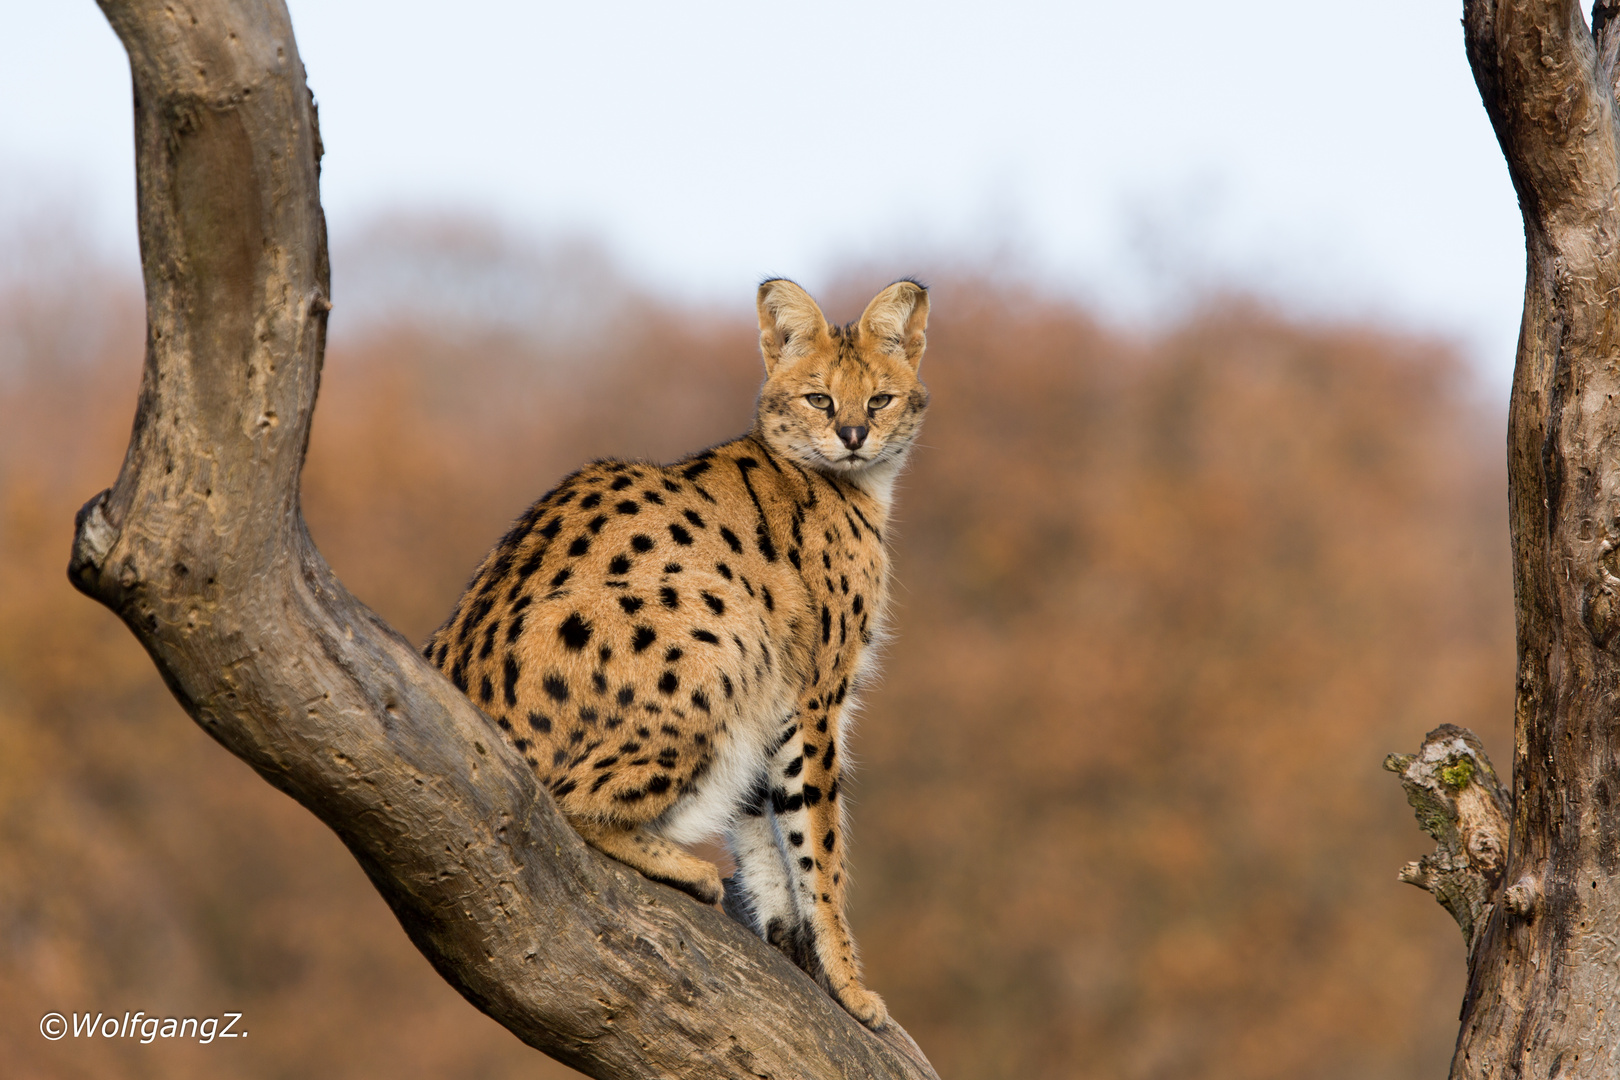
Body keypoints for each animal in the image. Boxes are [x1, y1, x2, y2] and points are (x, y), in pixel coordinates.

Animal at [424, 278, 933, 1029]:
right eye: (820, 399)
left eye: (879, 399)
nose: (852, 435)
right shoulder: (814, 694)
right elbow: (821, 841)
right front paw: (848, 981)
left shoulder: (779, 697)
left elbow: (765, 825)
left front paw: (789, 942)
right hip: (722, 630)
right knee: (559, 803)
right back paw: (681, 865)